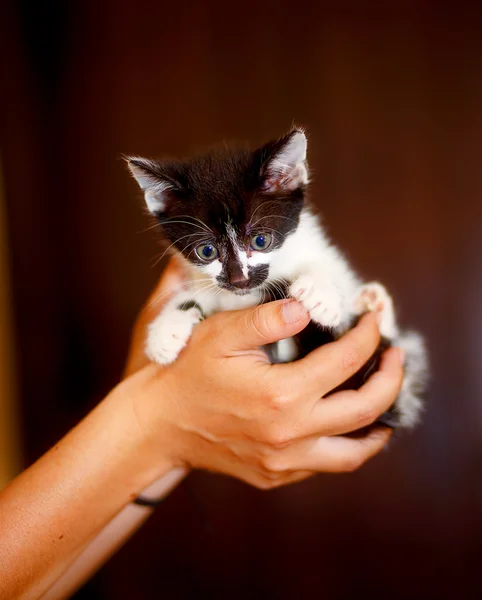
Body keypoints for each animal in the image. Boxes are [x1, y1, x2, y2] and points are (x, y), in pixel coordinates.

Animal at [126, 129, 428, 428]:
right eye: (206, 251)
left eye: (261, 241)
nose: (239, 280)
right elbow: (195, 294)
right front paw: (165, 331)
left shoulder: (316, 248)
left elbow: (327, 268)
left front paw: (320, 292)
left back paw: (374, 303)